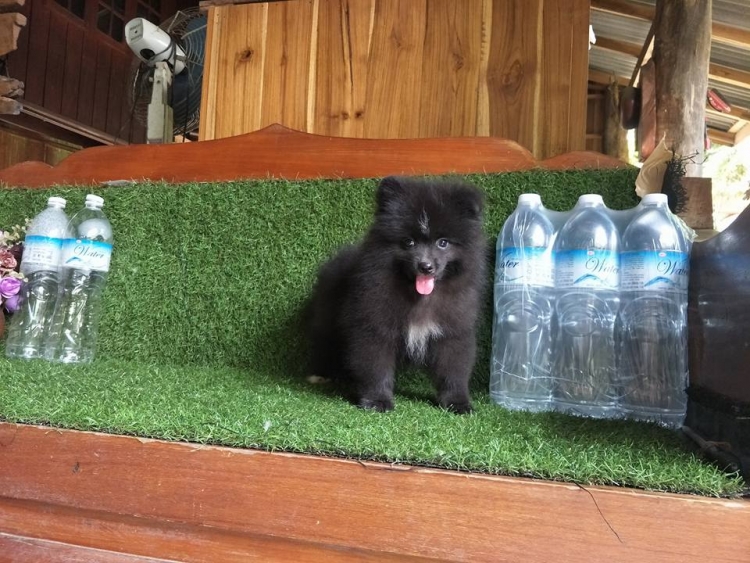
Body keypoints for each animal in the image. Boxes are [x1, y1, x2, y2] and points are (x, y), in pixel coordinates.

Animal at [306, 176, 487, 413]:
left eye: (443, 242)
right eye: (409, 242)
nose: (425, 266)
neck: (420, 298)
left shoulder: (453, 329)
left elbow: (453, 369)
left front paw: (457, 402)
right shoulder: (374, 324)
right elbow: (375, 366)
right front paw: (377, 400)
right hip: (327, 317)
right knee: (325, 342)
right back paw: (321, 374)